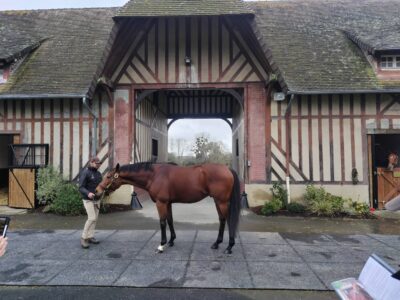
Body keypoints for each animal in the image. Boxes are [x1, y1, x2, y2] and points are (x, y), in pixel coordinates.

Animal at [95, 163, 242, 254]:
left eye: (108, 176)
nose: (96, 191)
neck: (154, 175)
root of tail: (227, 169)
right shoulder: (168, 203)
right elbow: (170, 220)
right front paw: (171, 241)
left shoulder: (161, 203)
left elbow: (162, 222)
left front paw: (161, 245)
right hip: (218, 201)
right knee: (222, 220)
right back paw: (217, 243)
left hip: (222, 201)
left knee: (228, 220)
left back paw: (229, 247)